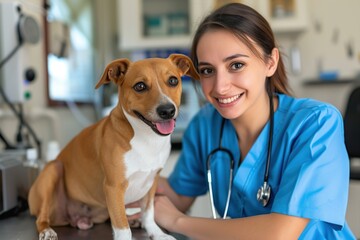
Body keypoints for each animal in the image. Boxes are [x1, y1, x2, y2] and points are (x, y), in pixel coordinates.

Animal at [28, 53, 200, 239]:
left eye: (173, 81)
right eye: (140, 86)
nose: (167, 110)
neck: (146, 139)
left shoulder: (152, 183)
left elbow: (149, 213)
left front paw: (157, 233)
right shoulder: (114, 187)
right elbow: (122, 226)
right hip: (53, 170)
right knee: (41, 219)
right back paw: (47, 231)